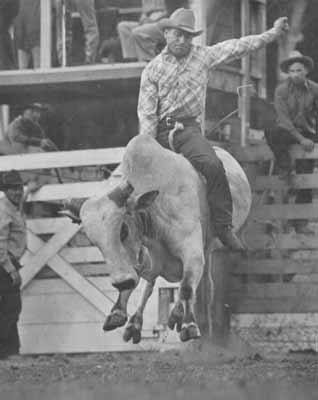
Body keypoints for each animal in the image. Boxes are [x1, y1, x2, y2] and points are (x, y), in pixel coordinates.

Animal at [64, 134, 251, 344]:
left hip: (210, 246)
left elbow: (186, 287)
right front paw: (118, 313)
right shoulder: (145, 258)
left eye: (123, 230)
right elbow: (141, 283)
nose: (121, 283)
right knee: (151, 285)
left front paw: (189, 325)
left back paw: (176, 315)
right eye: (94, 241)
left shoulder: (192, 253)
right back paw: (135, 323)